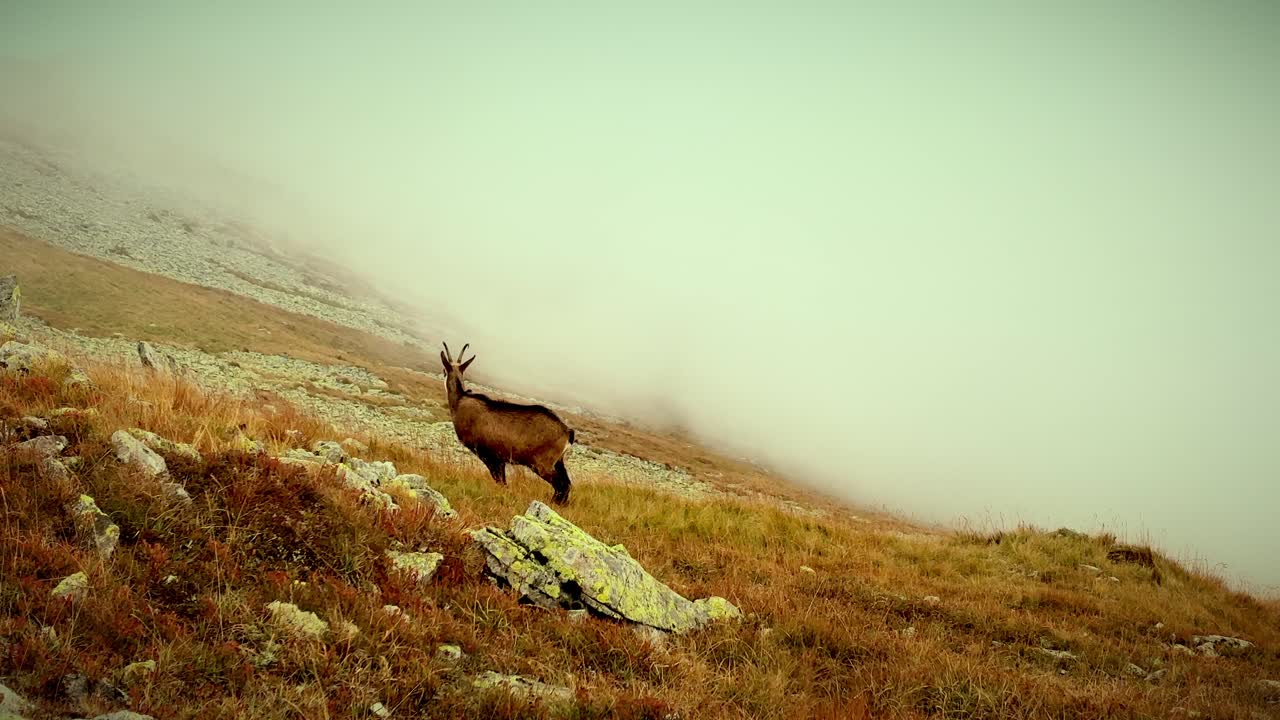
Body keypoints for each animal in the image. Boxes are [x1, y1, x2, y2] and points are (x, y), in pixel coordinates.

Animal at [440, 342, 576, 504]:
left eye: (444, 371)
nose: (442, 373)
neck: (461, 400)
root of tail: (567, 431)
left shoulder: (489, 456)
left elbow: (500, 481)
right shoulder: (500, 459)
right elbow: (502, 481)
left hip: (542, 464)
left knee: (561, 484)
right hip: (558, 462)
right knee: (566, 483)